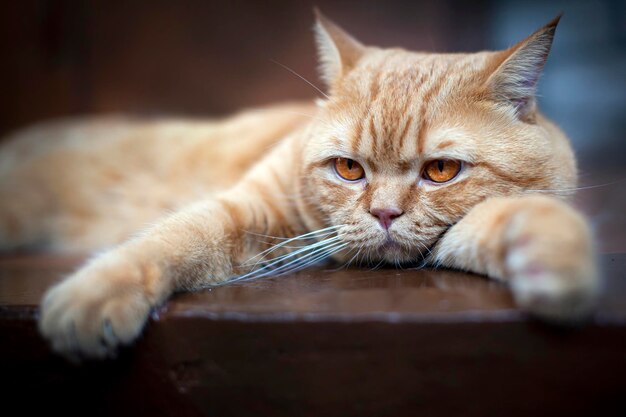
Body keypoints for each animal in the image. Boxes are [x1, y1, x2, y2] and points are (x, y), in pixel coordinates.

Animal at [0, 11, 596, 360]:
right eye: (348, 169)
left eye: (441, 171)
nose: (384, 215)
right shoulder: (246, 208)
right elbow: (171, 240)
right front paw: (94, 294)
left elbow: (518, 220)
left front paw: (556, 258)